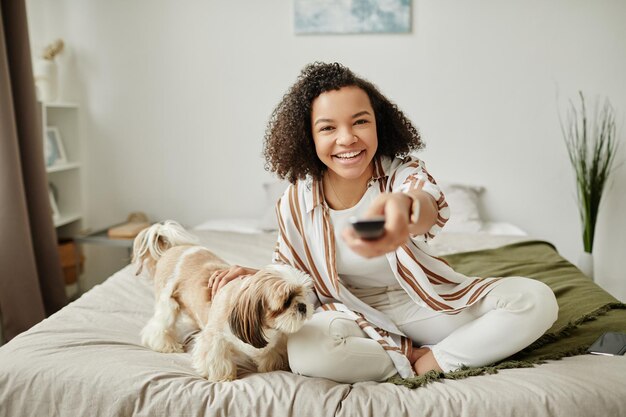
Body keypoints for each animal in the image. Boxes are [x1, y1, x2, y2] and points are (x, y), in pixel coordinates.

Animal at [132, 221, 312, 380]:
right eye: (286, 301)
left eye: (304, 293)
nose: (303, 306)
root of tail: (173, 249)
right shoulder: (214, 338)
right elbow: (216, 358)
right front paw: (223, 377)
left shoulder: (274, 343)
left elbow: (272, 353)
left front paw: (274, 365)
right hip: (167, 303)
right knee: (160, 325)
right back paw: (167, 345)